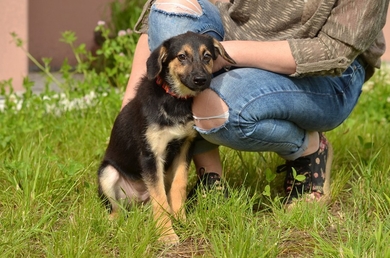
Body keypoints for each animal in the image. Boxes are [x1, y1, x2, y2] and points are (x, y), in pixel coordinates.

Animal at [97, 31, 235, 245]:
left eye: (207, 56)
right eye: (181, 56)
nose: (201, 80)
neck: (174, 100)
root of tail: (137, 201)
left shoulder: (184, 148)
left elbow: (178, 187)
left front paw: (181, 220)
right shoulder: (151, 156)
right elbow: (160, 197)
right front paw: (166, 234)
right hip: (107, 172)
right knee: (116, 209)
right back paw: (114, 222)